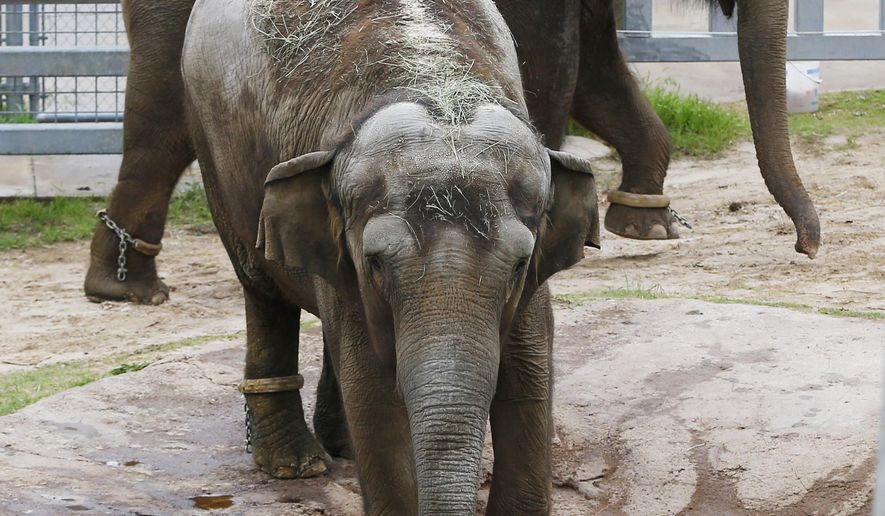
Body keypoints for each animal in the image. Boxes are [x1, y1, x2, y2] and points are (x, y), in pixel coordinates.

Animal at [178, 0, 599, 513]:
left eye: (520, 264)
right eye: (376, 263)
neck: (430, 79)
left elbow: (529, 377)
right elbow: (374, 398)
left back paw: (337, 445)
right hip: (212, 151)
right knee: (263, 289)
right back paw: (296, 464)